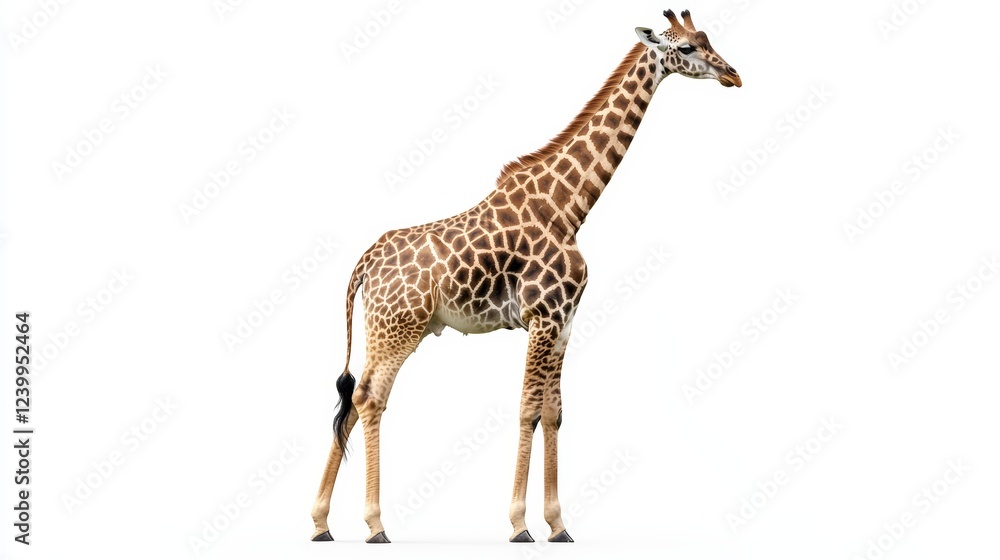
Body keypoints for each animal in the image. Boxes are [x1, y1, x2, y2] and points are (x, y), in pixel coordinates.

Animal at [311, 9, 740, 544]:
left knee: (351, 399)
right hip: (399, 330)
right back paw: (374, 525)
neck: (567, 209)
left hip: (386, 329)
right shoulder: (542, 316)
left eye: (707, 39)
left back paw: (322, 523)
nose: (733, 75)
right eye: (684, 48)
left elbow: (553, 413)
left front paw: (558, 525)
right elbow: (527, 409)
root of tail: (364, 263)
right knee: (371, 399)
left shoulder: (565, 322)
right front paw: (519, 524)